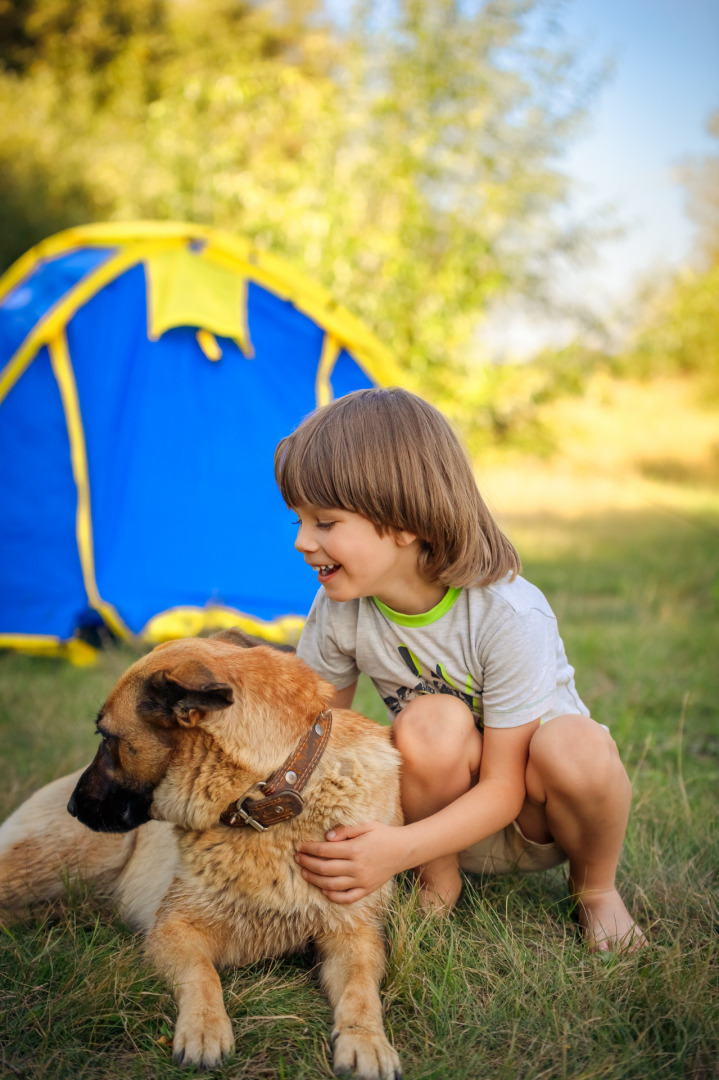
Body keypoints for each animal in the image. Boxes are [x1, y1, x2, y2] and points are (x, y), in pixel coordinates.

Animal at [0, 630, 403, 1075]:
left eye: (106, 739)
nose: (72, 807)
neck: (269, 797)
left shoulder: (354, 937)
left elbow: (361, 990)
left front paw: (366, 1041)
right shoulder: (174, 931)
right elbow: (203, 975)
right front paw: (205, 1028)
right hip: (56, 862)